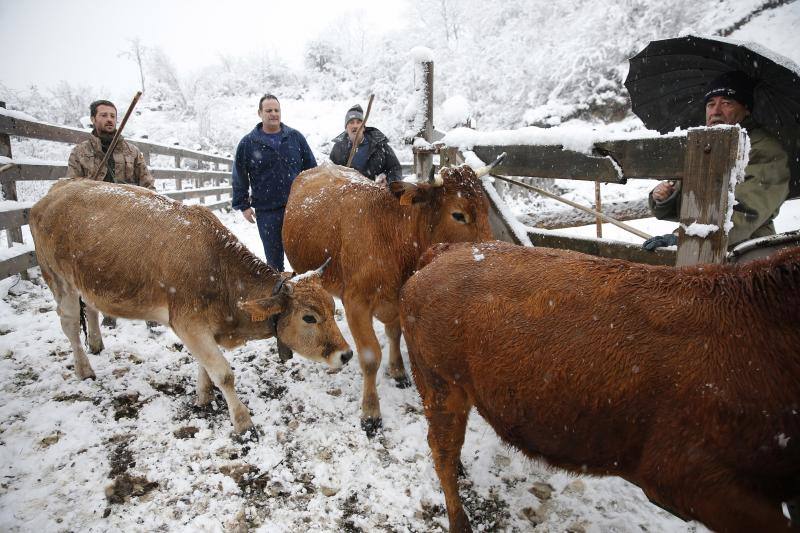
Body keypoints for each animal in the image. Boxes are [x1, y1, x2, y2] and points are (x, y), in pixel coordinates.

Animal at [31, 179, 350, 432]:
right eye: (309, 317)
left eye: (333, 310)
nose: (346, 355)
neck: (220, 269)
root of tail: (58, 188)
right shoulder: (188, 322)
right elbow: (224, 373)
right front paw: (242, 421)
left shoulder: (201, 327)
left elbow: (205, 366)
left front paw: (203, 396)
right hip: (58, 280)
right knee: (70, 324)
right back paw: (84, 368)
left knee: (91, 309)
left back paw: (96, 344)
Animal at [282, 162, 500, 436]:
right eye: (458, 214)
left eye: (486, 209)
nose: (491, 256)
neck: (393, 239)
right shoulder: (356, 303)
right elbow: (370, 357)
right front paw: (370, 412)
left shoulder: (397, 299)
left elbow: (395, 333)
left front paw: (397, 371)